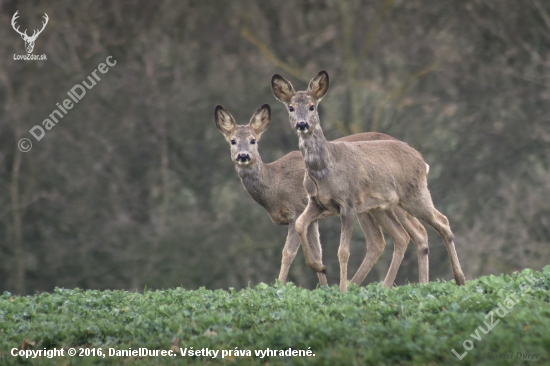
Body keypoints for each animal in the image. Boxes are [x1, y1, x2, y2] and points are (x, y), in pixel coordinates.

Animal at [215, 103, 432, 288]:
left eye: (253, 140)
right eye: (233, 141)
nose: (243, 156)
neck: (275, 185)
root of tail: (420, 158)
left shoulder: (297, 210)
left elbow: (288, 253)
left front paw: (279, 287)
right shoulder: (312, 215)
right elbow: (317, 252)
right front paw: (324, 285)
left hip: (392, 200)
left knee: (413, 232)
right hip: (371, 207)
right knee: (383, 240)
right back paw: (356, 285)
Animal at [272, 71, 466, 292]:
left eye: (312, 106)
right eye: (291, 107)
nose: (302, 124)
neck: (325, 170)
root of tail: (422, 161)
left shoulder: (348, 203)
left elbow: (343, 250)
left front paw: (343, 290)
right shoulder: (316, 202)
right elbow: (300, 225)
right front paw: (318, 266)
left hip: (414, 195)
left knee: (442, 222)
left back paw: (459, 279)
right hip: (381, 207)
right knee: (405, 235)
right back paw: (404, 285)